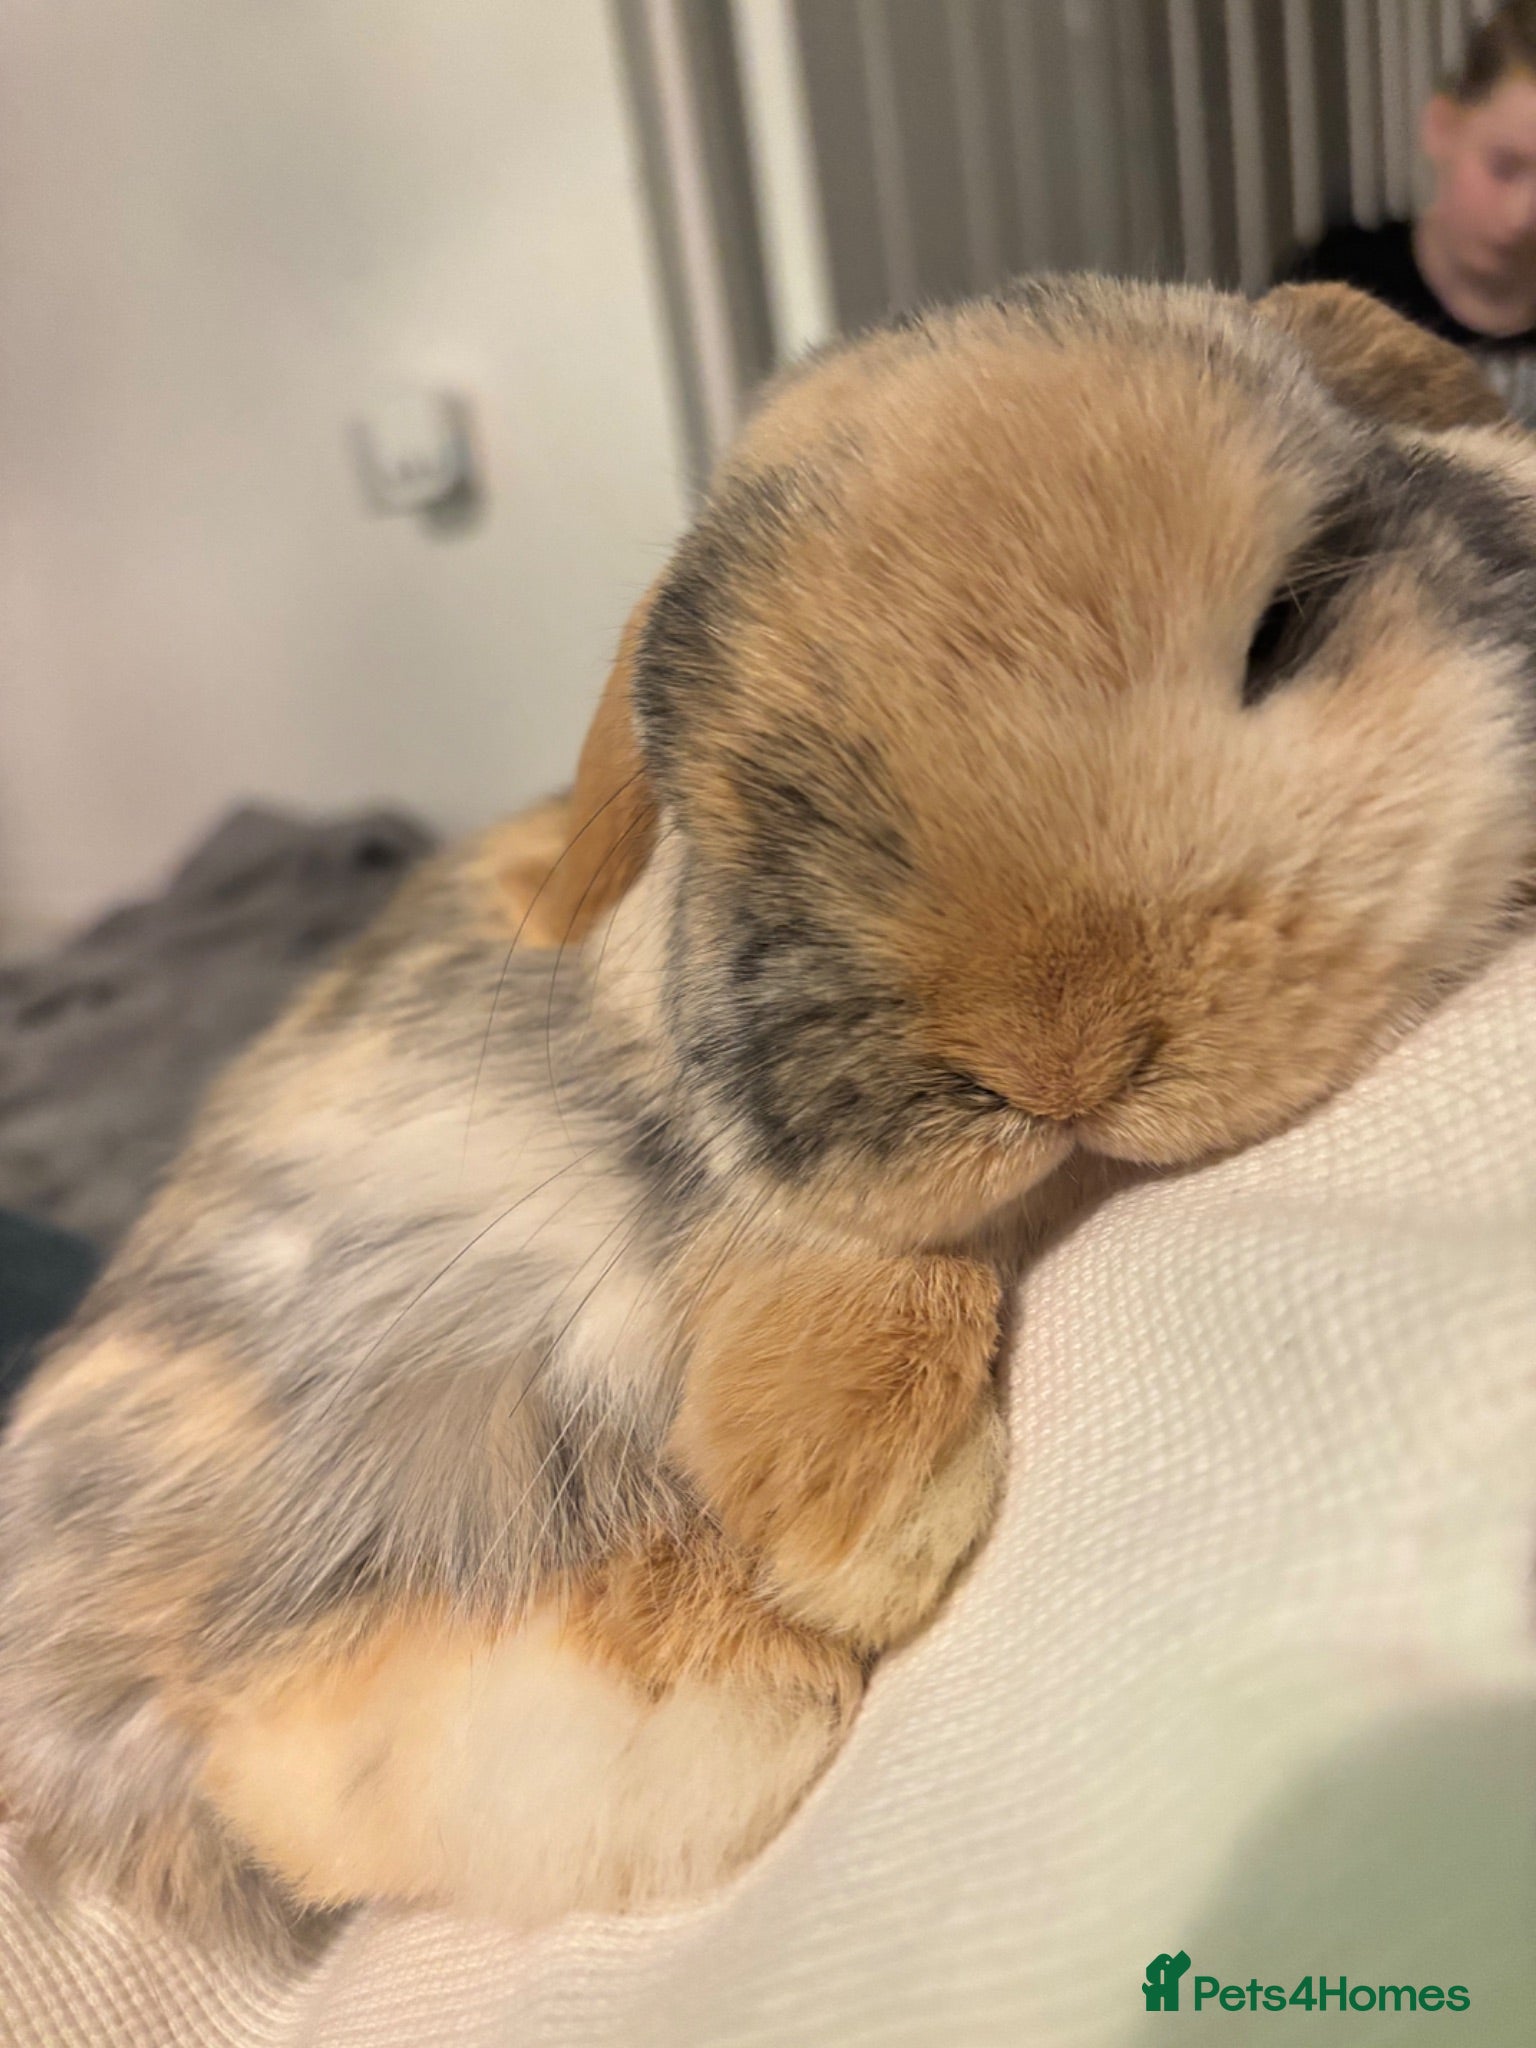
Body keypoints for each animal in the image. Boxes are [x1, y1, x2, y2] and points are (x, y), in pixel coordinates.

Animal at [1, 275, 1534, 1956]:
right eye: (736, 800)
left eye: (1288, 624)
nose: (1057, 1054)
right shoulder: (719, 1162)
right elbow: (837, 1248)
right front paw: (869, 1534)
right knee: (288, 1698)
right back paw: (717, 1696)